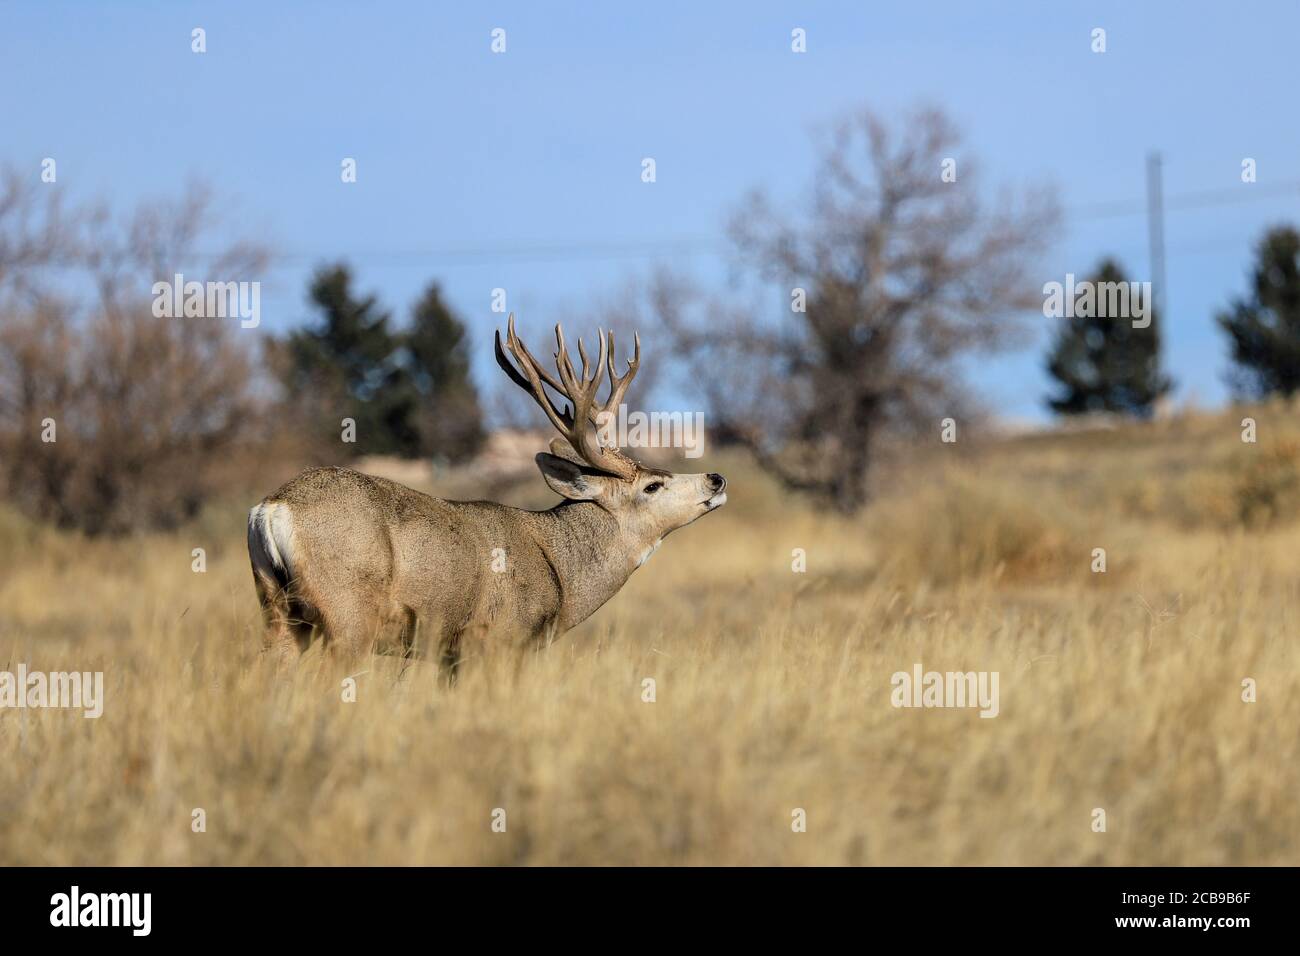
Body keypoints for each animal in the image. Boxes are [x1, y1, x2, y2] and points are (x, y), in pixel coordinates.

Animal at [247, 316, 727, 669]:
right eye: (652, 485)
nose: (716, 479)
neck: (560, 570)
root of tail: (271, 508)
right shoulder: (496, 639)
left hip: (278, 612)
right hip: (348, 613)